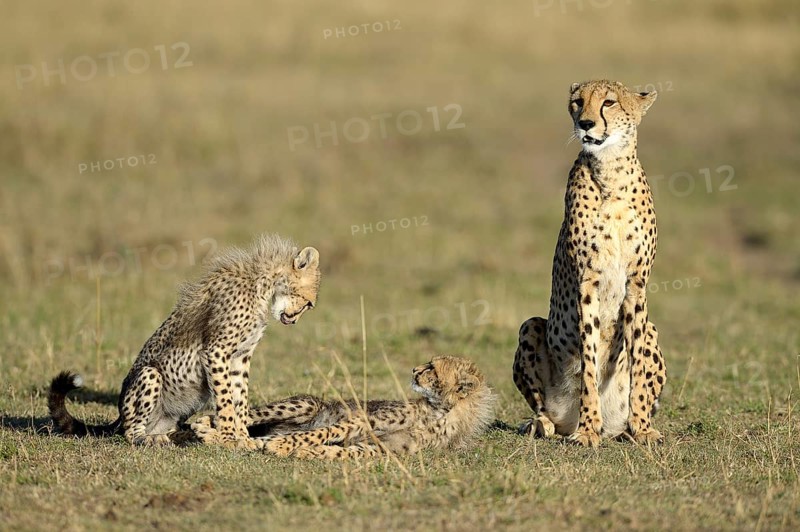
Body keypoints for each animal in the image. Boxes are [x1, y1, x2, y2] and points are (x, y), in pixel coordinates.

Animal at [48, 233, 320, 449]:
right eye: (309, 303)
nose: (294, 320)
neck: (264, 287)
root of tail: (118, 416)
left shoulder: (240, 357)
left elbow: (240, 398)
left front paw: (243, 436)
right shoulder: (216, 352)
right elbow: (226, 399)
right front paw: (229, 438)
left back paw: (179, 436)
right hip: (150, 375)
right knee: (130, 432)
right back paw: (151, 439)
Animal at [191, 355, 495, 459]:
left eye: (432, 367)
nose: (414, 370)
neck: (439, 411)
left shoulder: (383, 448)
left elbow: (342, 451)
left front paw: (307, 452)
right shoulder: (362, 421)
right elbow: (318, 433)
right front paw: (288, 445)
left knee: (249, 438)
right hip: (306, 403)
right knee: (242, 420)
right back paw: (207, 425)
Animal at [513, 80, 666, 447]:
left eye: (609, 102)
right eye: (577, 102)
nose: (585, 123)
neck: (611, 171)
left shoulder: (636, 285)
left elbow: (637, 364)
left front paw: (642, 426)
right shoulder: (588, 283)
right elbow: (589, 360)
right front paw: (587, 428)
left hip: (653, 329)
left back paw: (622, 427)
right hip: (531, 326)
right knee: (543, 409)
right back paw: (545, 425)